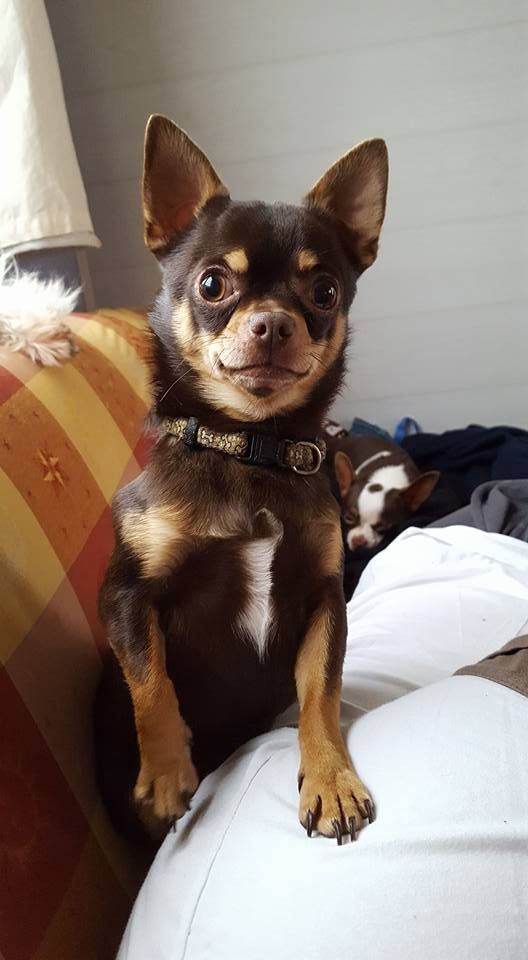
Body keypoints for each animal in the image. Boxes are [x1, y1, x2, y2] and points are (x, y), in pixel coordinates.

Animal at [97, 114, 389, 846]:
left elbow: (320, 693)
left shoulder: (323, 600)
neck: (252, 449)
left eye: (325, 293)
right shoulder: (126, 599)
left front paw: (330, 777)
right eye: (212, 285)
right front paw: (165, 774)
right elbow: (152, 684)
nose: (275, 322)